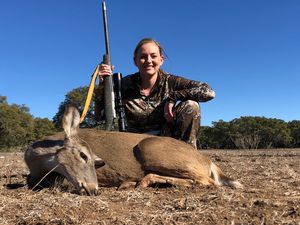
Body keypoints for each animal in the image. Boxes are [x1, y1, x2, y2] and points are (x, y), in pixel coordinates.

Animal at [25, 106, 241, 195]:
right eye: (83, 155)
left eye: (90, 157)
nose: (94, 189)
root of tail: (208, 161)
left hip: (151, 149)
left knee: (209, 182)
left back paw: (138, 182)